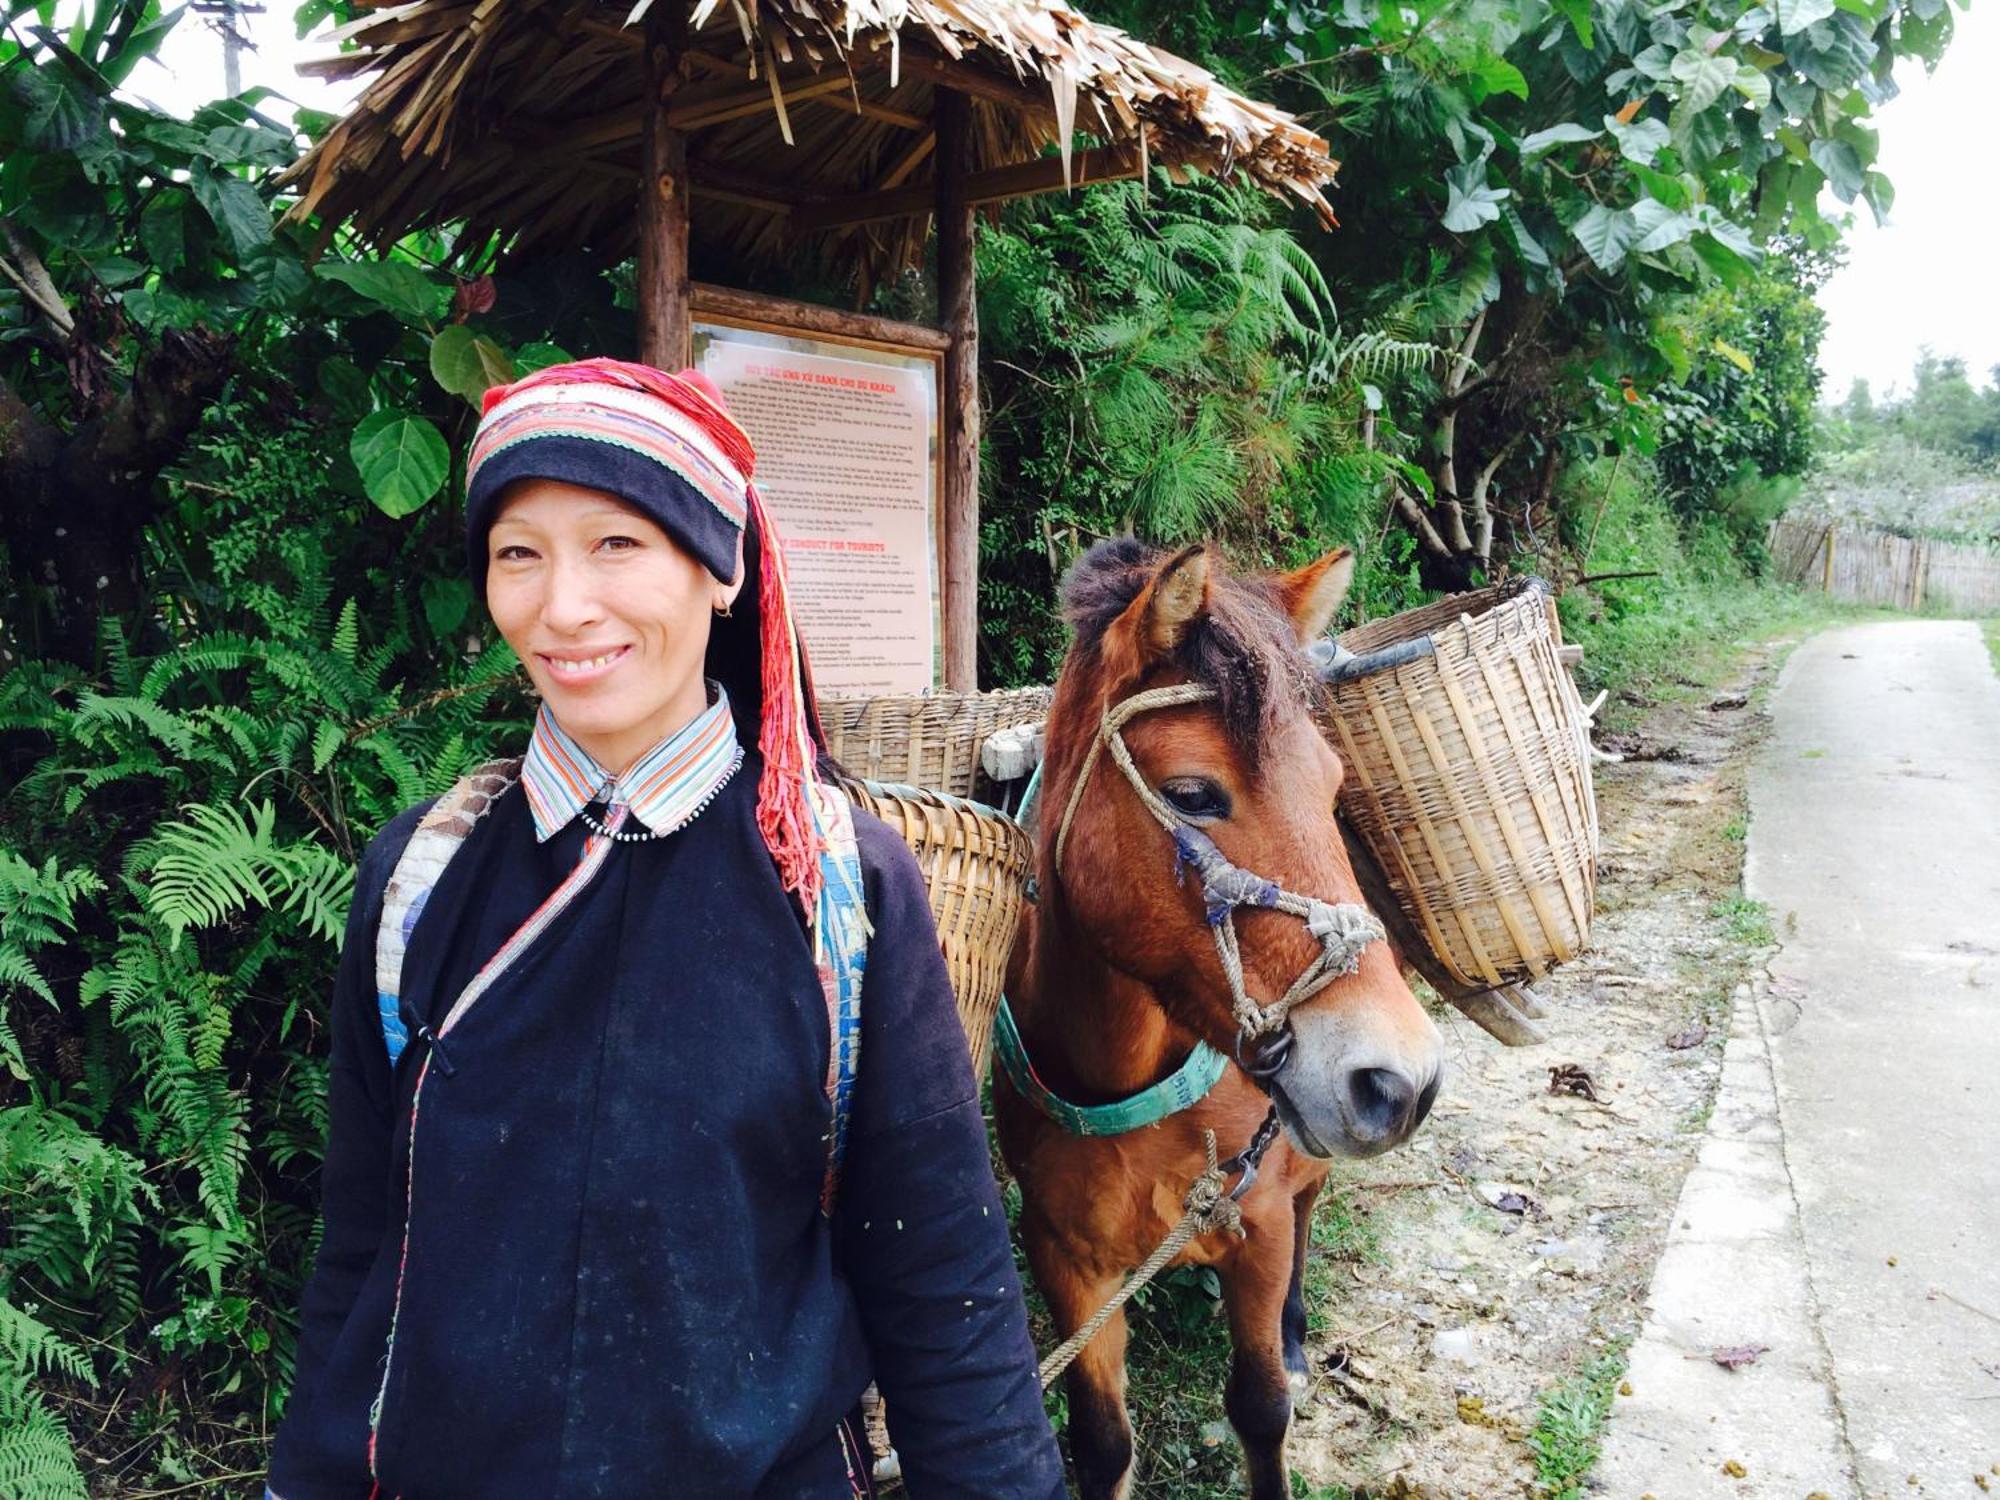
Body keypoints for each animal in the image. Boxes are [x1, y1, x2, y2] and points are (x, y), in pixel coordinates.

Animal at [996, 540, 1440, 1500]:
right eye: (1195, 793)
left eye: (1334, 787)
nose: (1405, 1080)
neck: (1128, 1084)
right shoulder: (1068, 1261)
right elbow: (1102, 1443)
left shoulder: (1257, 1225)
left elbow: (1261, 1410)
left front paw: (1285, 1363)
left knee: (1312, 1209)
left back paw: (1302, 1336)